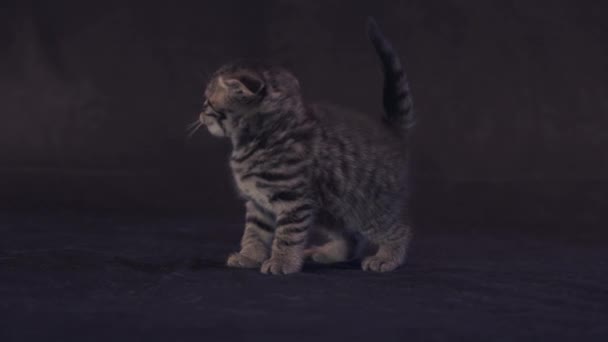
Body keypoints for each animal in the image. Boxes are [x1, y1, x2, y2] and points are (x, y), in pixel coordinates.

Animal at [197, 18, 416, 276]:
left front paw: (282, 262)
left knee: (399, 229)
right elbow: (254, 232)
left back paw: (386, 258)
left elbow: (287, 235)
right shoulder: (259, 203)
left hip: (366, 205)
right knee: (351, 237)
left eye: (208, 102)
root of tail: (390, 131)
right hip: (332, 210)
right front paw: (249, 256)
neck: (260, 139)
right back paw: (329, 253)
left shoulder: (294, 199)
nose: (200, 114)